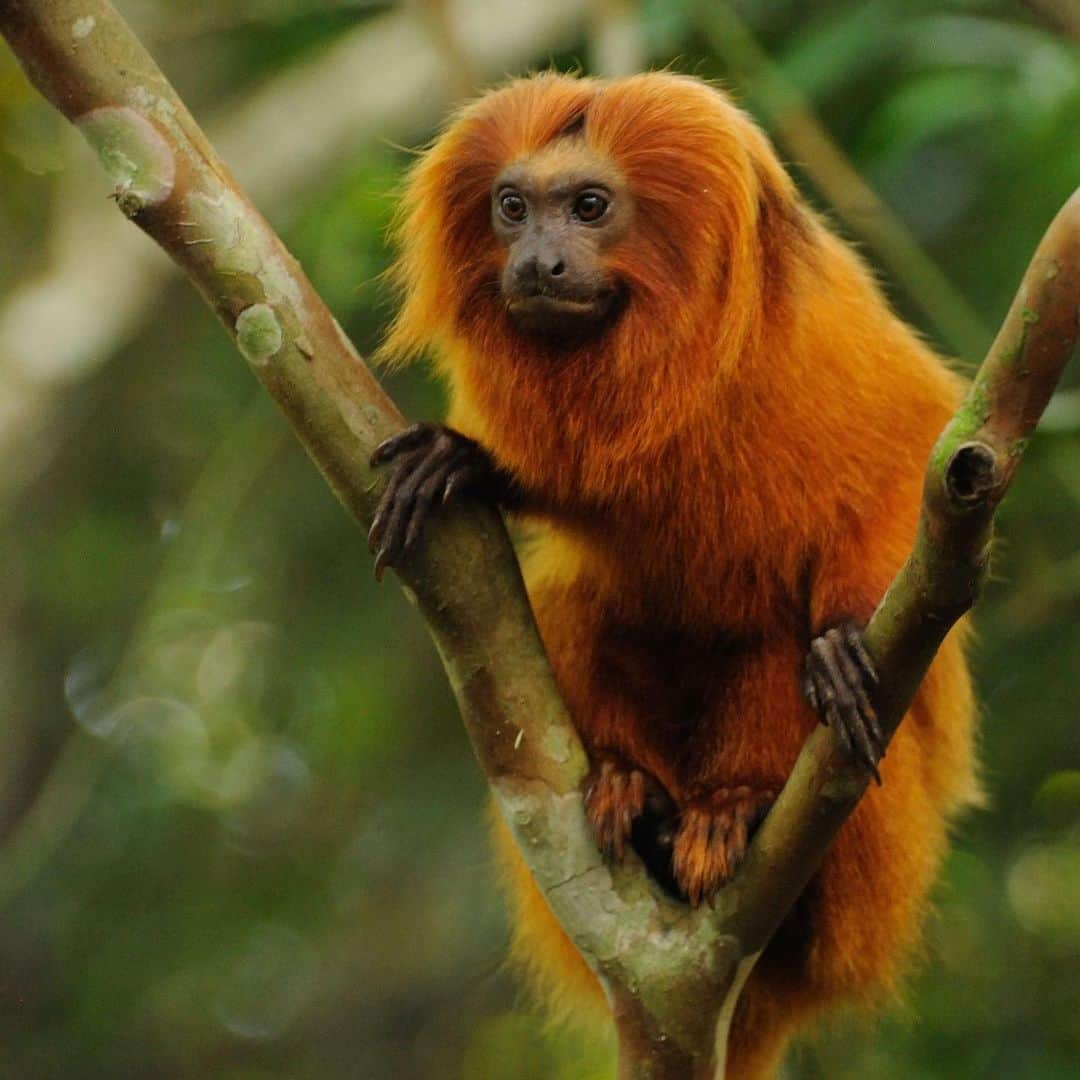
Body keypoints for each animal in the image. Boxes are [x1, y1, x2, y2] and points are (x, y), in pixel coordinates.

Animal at [367, 71, 984, 1075]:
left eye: (588, 207)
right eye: (512, 208)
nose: (538, 261)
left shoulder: (830, 341)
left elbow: (911, 473)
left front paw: (843, 641)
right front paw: (464, 461)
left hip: (878, 872)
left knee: (777, 641)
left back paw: (730, 812)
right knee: (579, 603)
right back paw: (636, 791)